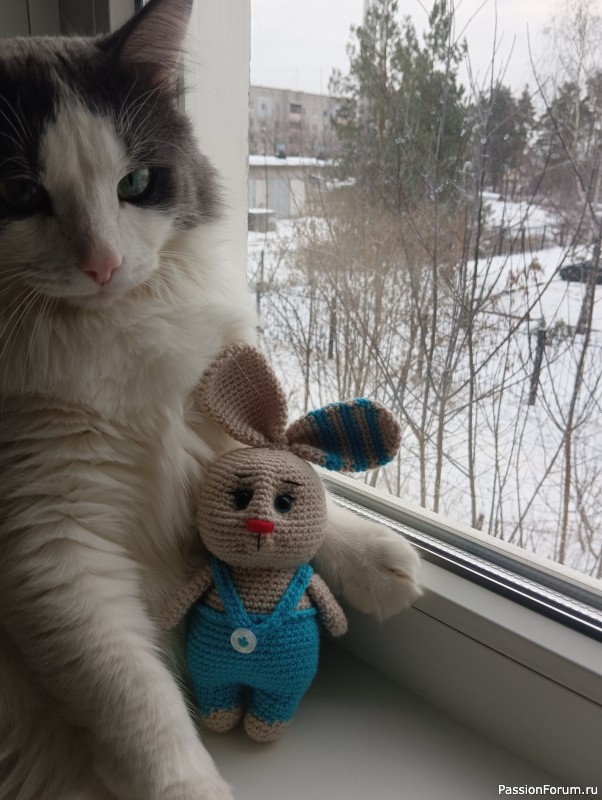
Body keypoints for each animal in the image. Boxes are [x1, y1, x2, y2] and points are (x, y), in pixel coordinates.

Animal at [0, 1, 421, 798]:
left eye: (136, 183)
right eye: (20, 195)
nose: (103, 265)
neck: (106, 334)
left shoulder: (201, 422)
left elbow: (287, 477)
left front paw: (378, 558)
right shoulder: (54, 552)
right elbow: (140, 710)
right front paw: (190, 786)